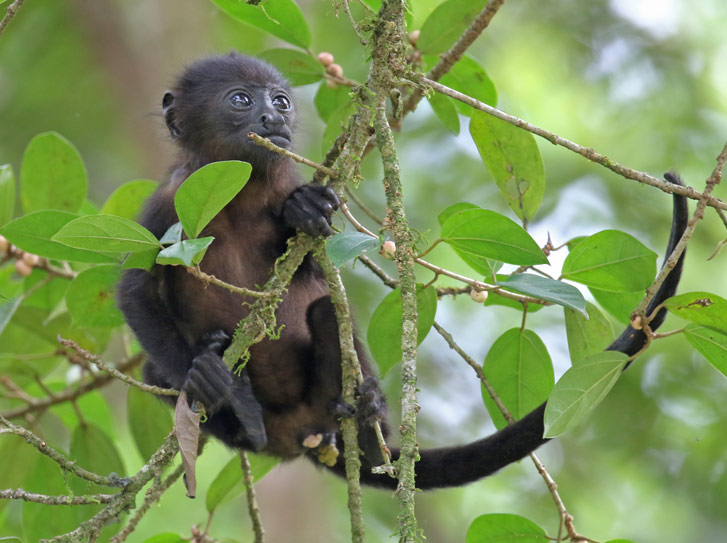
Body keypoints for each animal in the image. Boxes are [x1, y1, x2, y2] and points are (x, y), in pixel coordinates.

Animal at [117, 52, 688, 491]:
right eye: (241, 99)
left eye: (279, 100)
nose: (274, 119)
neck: (242, 188)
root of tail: (301, 435)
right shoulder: (170, 200)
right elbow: (134, 289)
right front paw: (206, 377)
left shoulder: (285, 178)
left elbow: (317, 270)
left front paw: (302, 212)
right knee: (156, 372)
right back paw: (234, 405)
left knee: (325, 314)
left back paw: (369, 420)